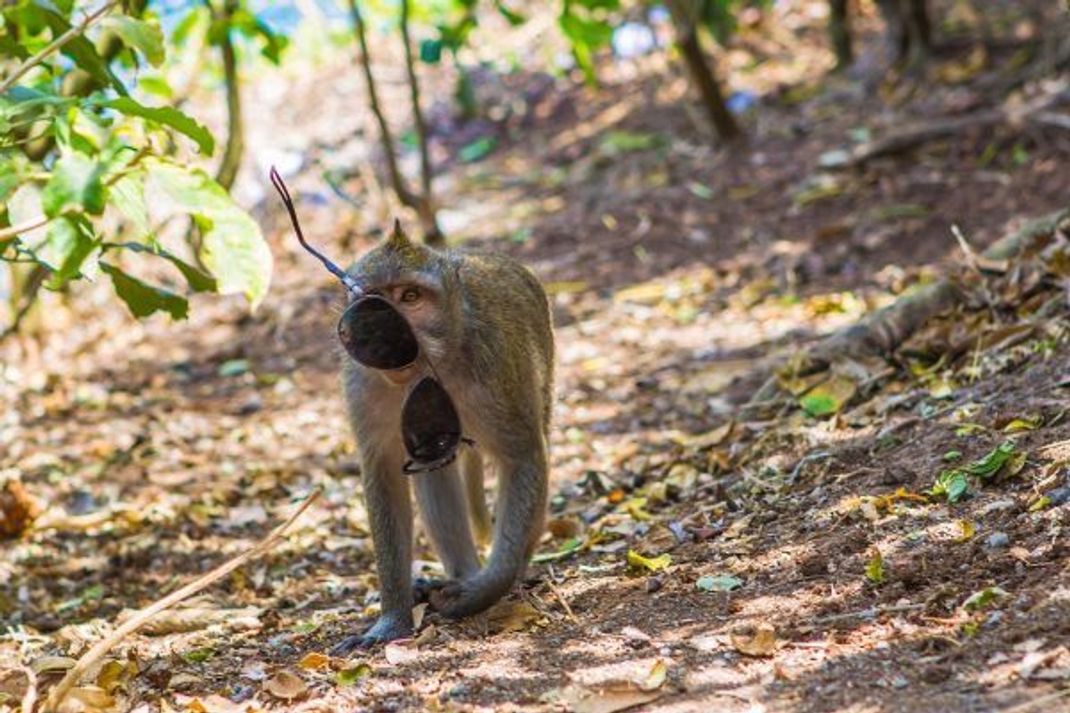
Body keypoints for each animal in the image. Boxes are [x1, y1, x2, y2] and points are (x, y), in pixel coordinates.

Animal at [331, 222, 552, 650]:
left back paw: (502, 577)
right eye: (374, 302)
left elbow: (523, 456)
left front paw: (486, 590)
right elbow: (384, 472)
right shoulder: (361, 385)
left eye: (410, 297)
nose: (383, 337)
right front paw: (392, 619)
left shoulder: (495, 366)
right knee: (432, 464)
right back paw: (460, 573)